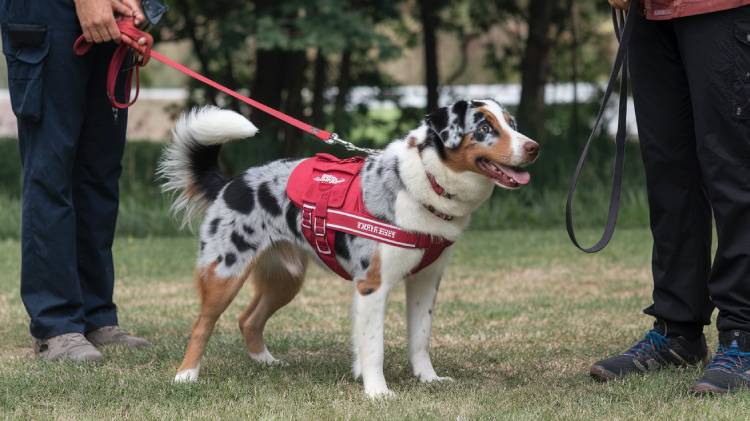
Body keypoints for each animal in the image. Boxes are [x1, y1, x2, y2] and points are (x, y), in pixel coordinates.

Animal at [160, 99, 540, 398]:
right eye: (485, 127)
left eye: (511, 124)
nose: (533, 147)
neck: (425, 183)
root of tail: (230, 183)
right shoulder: (372, 285)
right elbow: (374, 346)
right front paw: (378, 392)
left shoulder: (425, 281)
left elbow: (420, 338)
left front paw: (428, 379)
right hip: (226, 271)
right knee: (203, 324)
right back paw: (185, 376)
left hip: (286, 279)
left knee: (248, 320)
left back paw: (267, 363)